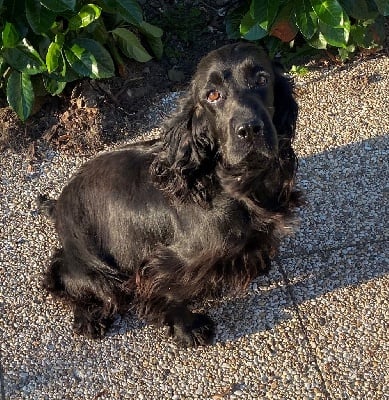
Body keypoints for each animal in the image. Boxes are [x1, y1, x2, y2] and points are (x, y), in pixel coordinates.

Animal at [38, 42, 300, 346]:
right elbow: (169, 291)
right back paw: (89, 317)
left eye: (262, 79)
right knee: (65, 276)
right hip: (99, 269)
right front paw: (188, 327)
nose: (249, 130)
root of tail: (58, 203)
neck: (231, 182)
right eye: (212, 95)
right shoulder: (167, 261)